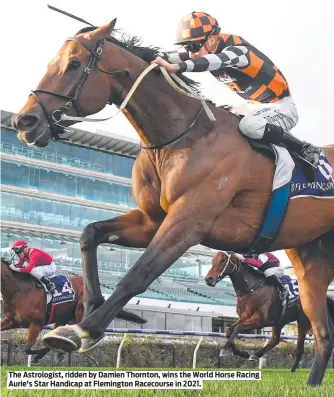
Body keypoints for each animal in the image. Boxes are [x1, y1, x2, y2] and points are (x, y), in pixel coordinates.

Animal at [0, 256, 146, 362]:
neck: (19, 290)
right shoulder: (12, 321)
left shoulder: (36, 323)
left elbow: (28, 349)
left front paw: (40, 354)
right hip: (61, 319)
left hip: (79, 314)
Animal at [205, 251, 334, 372]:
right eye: (212, 261)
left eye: (222, 260)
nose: (208, 279)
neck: (251, 288)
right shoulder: (244, 316)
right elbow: (229, 331)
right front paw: (243, 353)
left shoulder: (259, 320)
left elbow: (238, 328)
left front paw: (224, 350)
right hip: (279, 321)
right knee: (275, 340)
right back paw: (255, 355)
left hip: (303, 321)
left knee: (299, 348)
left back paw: (292, 370)